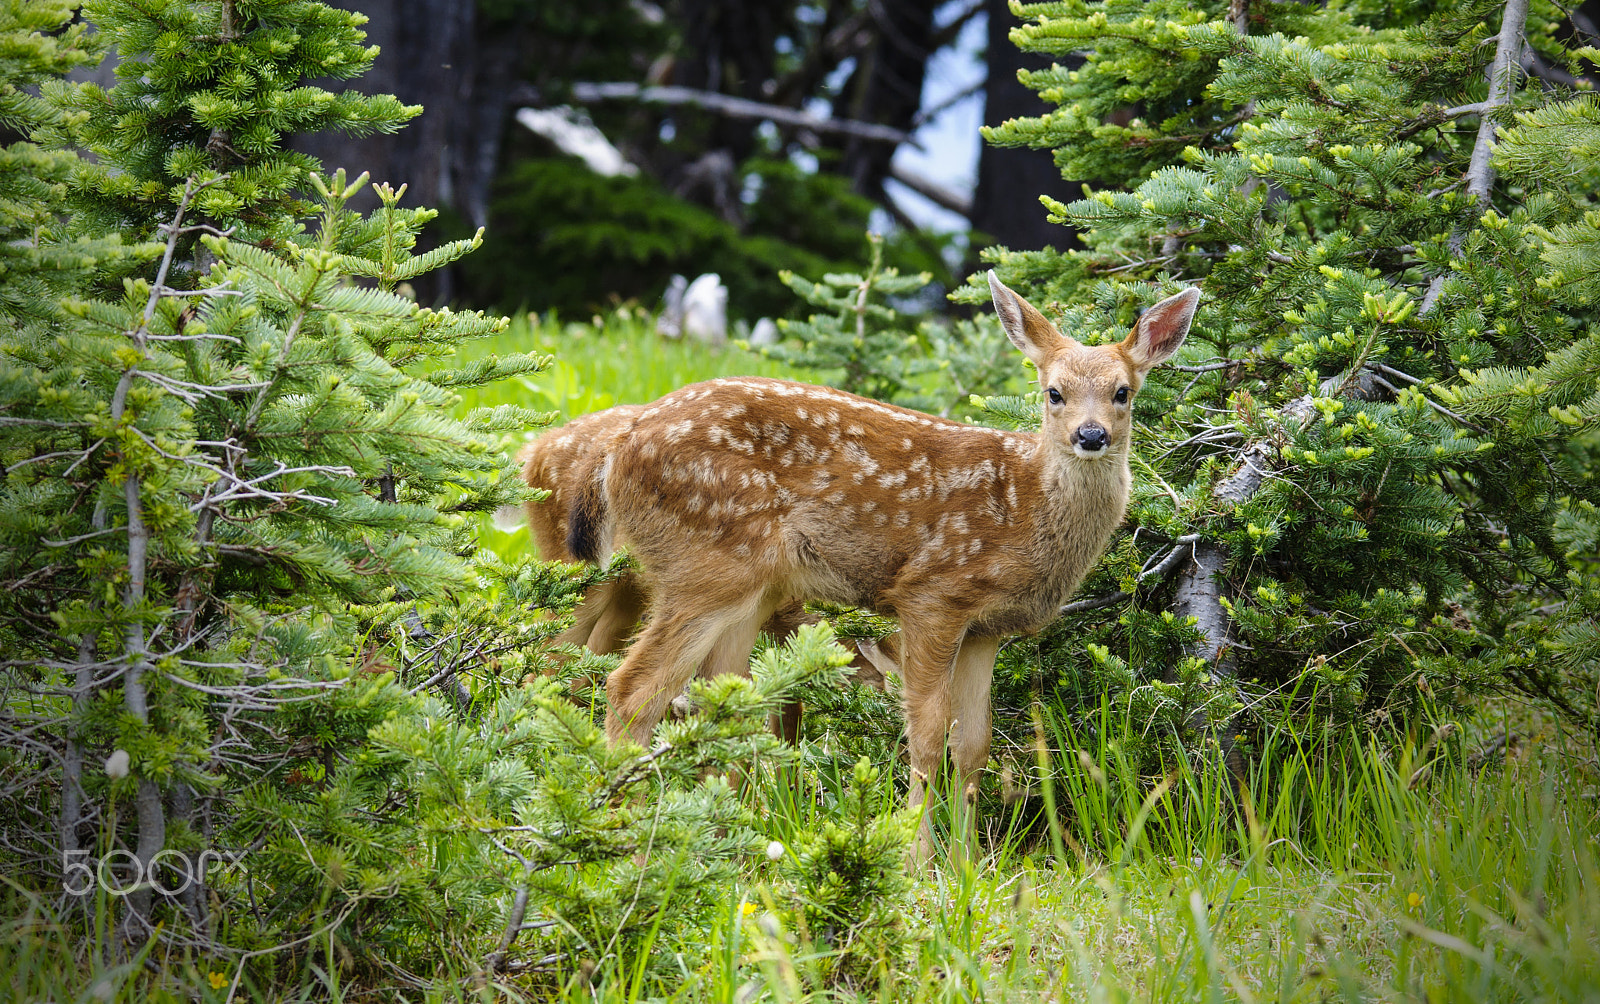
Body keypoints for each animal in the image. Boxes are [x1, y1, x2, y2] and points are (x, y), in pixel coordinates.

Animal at [563, 274, 1199, 861]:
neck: (1025, 508)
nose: (1090, 435)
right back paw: (625, 833)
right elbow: (926, 734)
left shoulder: (986, 629)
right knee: (633, 687)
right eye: (1054, 392)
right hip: (706, 564)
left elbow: (974, 744)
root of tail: (616, 450)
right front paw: (917, 859)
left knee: (724, 699)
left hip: (747, 589)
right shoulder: (932, 595)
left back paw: (722, 835)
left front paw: (968, 863)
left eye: (1123, 392)